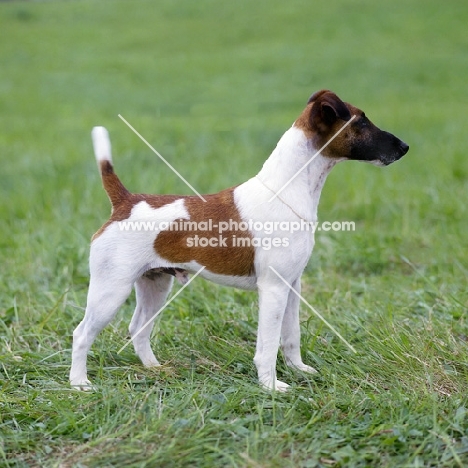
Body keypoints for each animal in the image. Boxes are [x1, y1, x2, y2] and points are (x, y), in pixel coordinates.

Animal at [70, 89, 410, 390]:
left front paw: (299, 370)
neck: (287, 188)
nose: (405, 146)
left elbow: (291, 337)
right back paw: (79, 384)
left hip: (155, 284)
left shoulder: (292, 285)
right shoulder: (272, 289)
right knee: (82, 334)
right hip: (111, 290)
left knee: (138, 328)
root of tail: (125, 202)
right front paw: (271, 386)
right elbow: (268, 345)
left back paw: (156, 369)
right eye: (361, 121)